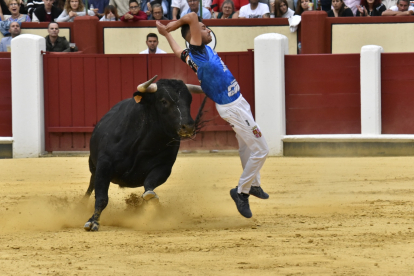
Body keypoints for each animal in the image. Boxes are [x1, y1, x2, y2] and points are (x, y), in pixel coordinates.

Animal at [82, 76, 205, 231]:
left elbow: (149, 186)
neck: (143, 142)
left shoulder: (164, 167)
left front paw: (150, 200)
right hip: (93, 166)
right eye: (164, 101)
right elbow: (101, 197)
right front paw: (93, 222)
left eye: (189, 100)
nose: (188, 127)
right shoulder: (104, 165)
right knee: (91, 185)